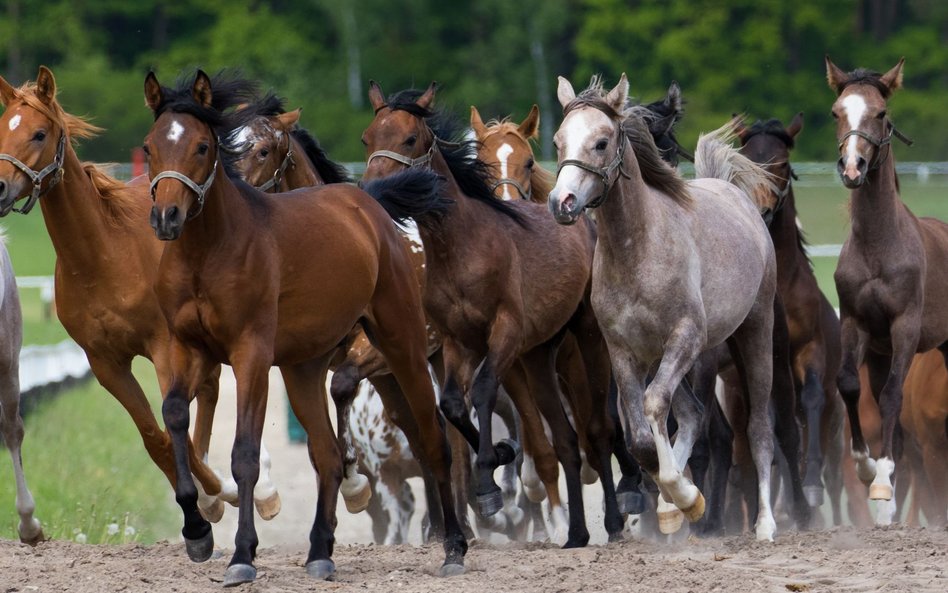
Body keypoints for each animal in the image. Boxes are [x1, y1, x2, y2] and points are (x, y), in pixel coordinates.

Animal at [0, 66, 256, 524]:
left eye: (39, 134)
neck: (103, 258)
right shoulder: (106, 363)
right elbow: (155, 437)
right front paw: (200, 503)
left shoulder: (165, 347)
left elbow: (177, 425)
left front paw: (218, 493)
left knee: (209, 390)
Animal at [142, 69, 466, 584]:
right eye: (150, 146)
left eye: (201, 146)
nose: (167, 217)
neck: (208, 252)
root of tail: (368, 207)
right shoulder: (188, 348)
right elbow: (174, 415)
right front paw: (197, 532)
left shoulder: (251, 355)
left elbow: (245, 455)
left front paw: (242, 555)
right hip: (304, 369)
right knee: (328, 453)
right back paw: (320, 551)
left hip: (402, 345)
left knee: (434, 438)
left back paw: (453, 546)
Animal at [362, 80, 624, 544]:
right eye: (367, 138)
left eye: (409, 139)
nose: (373, 190)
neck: (462, 244)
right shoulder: (458, 342)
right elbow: (452, 405)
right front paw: (501, 453)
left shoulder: (505, 332)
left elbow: (483, 392)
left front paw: (487, 484)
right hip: (539, 358)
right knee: (564, 439)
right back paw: (575, 531)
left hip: (587, 340)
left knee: (597, 429)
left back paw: (614, 521)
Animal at [552, 74, 780, 540]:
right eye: (558, 141)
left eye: (601, 142)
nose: (561, 202)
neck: (638, 249)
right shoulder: (624, 352)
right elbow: (640, 436)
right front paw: (679, 502)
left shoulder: (686, 338)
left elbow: (655, 404)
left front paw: (686, 496)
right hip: (664, 356)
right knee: (691, 414)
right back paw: (673, 507)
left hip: (753, 331)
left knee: (759, 428)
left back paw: (765, 524)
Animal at [824, 56, 948, 524]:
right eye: (836, 112)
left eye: (881, 114)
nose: (853, 168)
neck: (878, 246)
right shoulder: (858, 325)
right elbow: (850, 386)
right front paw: (868, 468)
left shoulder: (905, 328)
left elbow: (895, 392)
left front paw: (882, 478)